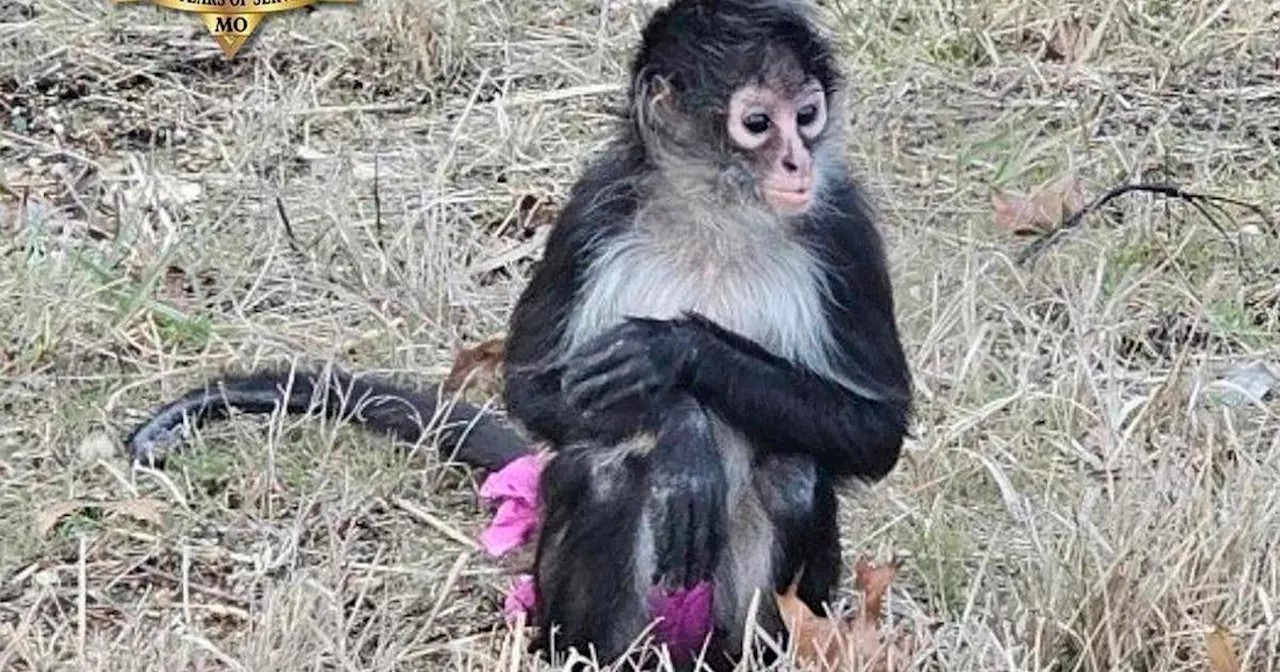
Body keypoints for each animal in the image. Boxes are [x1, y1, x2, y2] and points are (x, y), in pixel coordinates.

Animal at [127, 2, 911, 665]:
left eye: (806, 115)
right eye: (758, 124)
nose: (798, 161)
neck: (717, 215)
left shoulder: (841, 224)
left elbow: (877, 430)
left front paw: (679, 351)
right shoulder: (594, 207)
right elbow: (534, 388)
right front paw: (682, 424)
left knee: (793, 474)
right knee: (599, 467)